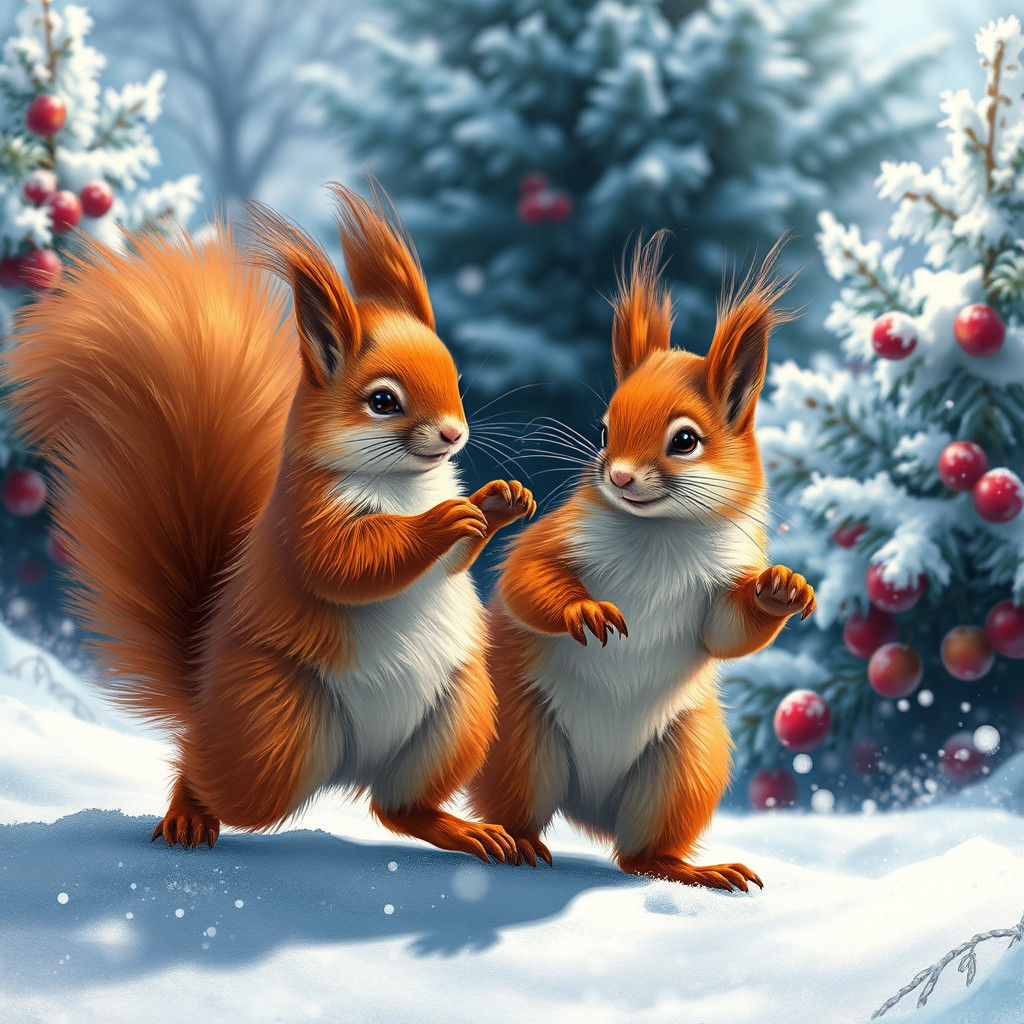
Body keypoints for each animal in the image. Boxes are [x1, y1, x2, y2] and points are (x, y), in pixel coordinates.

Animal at [3, 183, 534, 862]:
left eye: (456, 379)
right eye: (382, 400)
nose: (452, 434)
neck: (404, 483)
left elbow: (453, 564)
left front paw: (500, 501)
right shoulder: (302, 519)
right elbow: (344, 565)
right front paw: (446, 518)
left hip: (455, 721)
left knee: (398, 810)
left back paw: (467, 831)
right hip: (273, 729)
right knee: (208, 773)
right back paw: (186, 815)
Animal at [468, 233, 815, 889]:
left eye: (685, 440)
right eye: (604, 430)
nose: (620, 476)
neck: (662, 533)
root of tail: (591, 809)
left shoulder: (723, 579)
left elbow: (727, 632)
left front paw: (781, 589)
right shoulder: (560, 534)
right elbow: (528, 580)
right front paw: (584, 610)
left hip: (685, 763)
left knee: (640, 855)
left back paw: (694, 869)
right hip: (521, 740)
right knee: (519, 808)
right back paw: (515, 841)